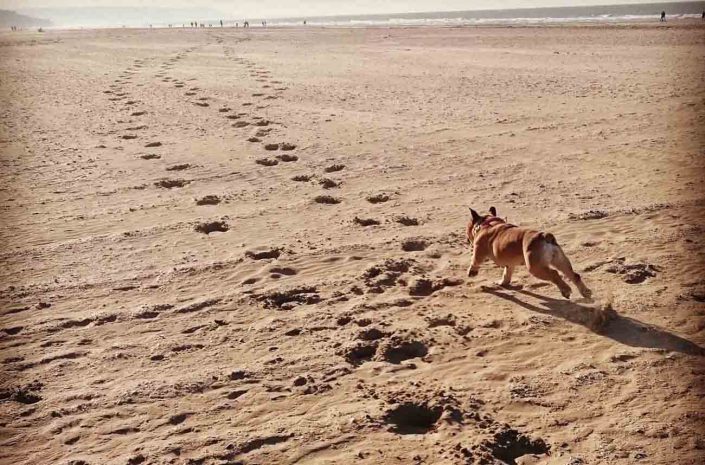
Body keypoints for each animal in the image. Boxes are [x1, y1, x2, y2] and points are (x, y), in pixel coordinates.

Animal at [464, 206, 592, 300]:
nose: (467, 240)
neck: (487, 223)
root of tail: (544, 236)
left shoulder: (478, 249)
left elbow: (474, 260)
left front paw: (472, 271)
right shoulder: (509, 265)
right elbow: (506, 274)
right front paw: (503, 283)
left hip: (535, 267)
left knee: (554, 274)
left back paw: (565, 290)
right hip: (560, 260)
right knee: (573, 274)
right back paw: (585, 292)